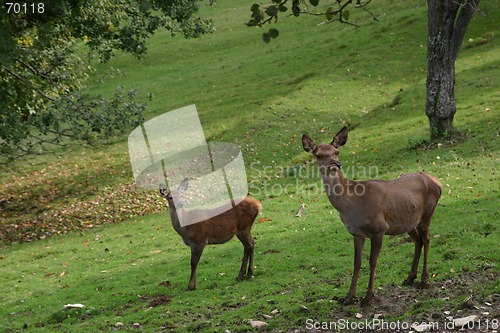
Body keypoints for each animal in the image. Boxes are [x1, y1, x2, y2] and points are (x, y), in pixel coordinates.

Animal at [300, 126, 442, 304]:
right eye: (318, 155)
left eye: (337, 151)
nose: (336, 164)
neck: (352, 203)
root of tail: (438, 183)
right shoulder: (356, 233)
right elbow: (356, 262)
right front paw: (348, 297)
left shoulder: (379, 228)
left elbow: (373, 261)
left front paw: (368, 296)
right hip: (408, 222)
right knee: (418, 240)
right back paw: (410, 278)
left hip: (427, 213)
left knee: (427, 239)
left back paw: (424, 280)